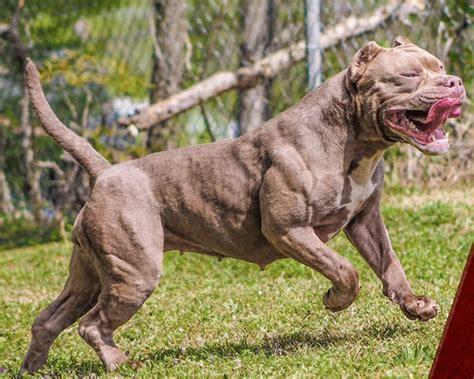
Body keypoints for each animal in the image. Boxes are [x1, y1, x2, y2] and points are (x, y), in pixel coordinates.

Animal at [20, 37, 464, 372]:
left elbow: (390, 264)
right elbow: (347, 271)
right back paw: (119, 363)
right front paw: (335, 301)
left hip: (91, 274)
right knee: (92, 326)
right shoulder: (289, 230)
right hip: (134, 273)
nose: (456, 82)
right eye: (409, 76)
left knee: (49, 319)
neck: (352, 139)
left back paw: (33, 369)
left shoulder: (365, 219)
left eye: (440, 66)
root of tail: (106, 172)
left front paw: (415, 305)